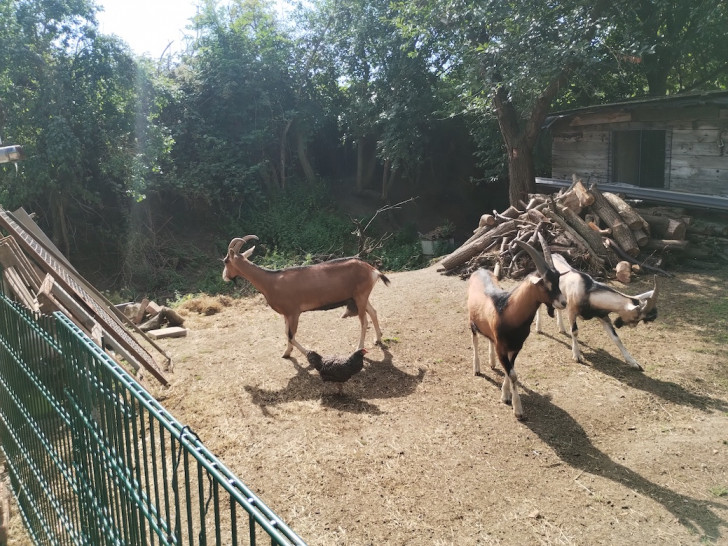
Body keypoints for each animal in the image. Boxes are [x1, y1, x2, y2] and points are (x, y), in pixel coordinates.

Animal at [222, 235, 390, 356]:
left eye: (226, 261)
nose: (224, 277)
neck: (270, 280)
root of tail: (373, 270)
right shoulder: (286, 314)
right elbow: (286, 333)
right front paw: (286, 353)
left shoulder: (294, 312)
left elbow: (291, 335)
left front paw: (307, 353)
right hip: (360, 297)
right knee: (373, 312)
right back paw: (378, 339)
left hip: (360, 296)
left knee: (364, 322)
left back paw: (359, 347)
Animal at [470, 240, 564, 418]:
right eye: (545, 284)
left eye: (558, 281)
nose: (563, 302)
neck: (508, 311)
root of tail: (479, 271)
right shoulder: (502, 348)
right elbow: (512, 374)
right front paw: (518, 410)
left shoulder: (515, 347)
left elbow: (510, 370)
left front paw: (505, 395)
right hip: (471, 322)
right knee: (476, 341)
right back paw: (477, 369)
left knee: (489, 339)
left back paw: (492, 363)